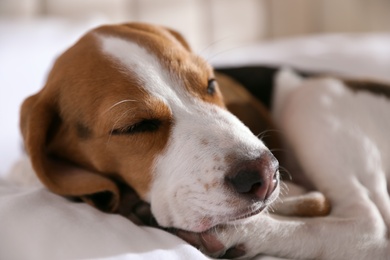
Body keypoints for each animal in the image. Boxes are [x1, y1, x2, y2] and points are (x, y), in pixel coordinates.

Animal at [19, 22, 388, 260]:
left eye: (211, 84)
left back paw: (241, 233)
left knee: (370, 227)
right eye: (136, 126)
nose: (268, 174)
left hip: (312, 98)